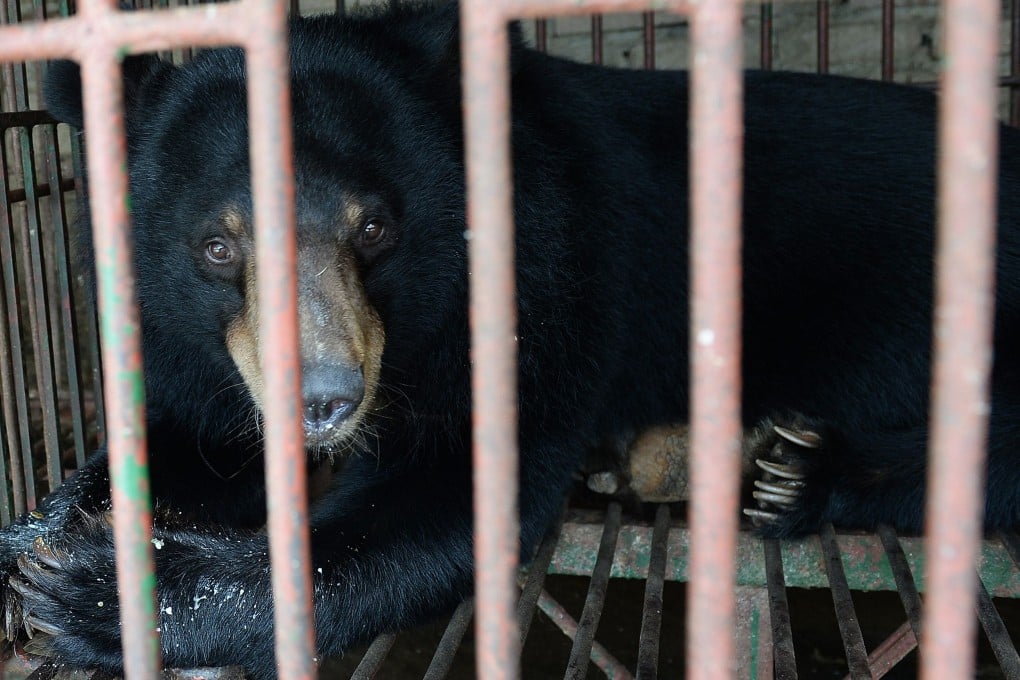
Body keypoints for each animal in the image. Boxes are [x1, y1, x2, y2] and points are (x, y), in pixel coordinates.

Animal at [0, 0, 1016, 676]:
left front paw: (103, 592)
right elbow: (189, 437)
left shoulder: (545, 277)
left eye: (375, 227)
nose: (323, 401)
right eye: (217, 246)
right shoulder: (189, 342)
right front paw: (40, 540)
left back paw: (791, 470)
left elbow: (451, 498)